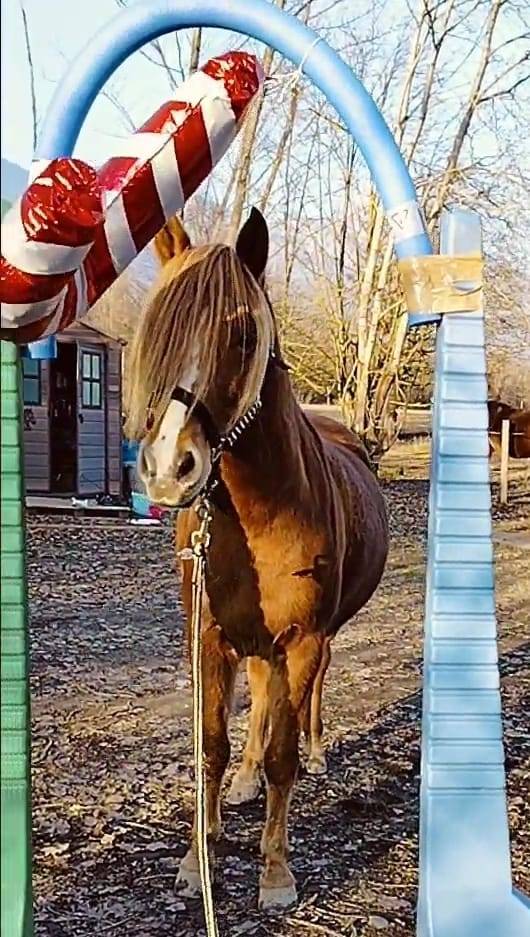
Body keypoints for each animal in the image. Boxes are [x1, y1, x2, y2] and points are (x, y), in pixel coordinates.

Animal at [126, 208, 389, 910]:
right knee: (263, 698)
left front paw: (275, 874)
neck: (262, 510)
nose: (170, 469)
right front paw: (199, 860)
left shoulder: (300, 638)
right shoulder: (209, 635)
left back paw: (318, 750)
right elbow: (212, 746)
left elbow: (282, 758)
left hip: (316, 640)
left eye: (243, 335)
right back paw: (241, 787)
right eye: (157, 330)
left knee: (306, 697)